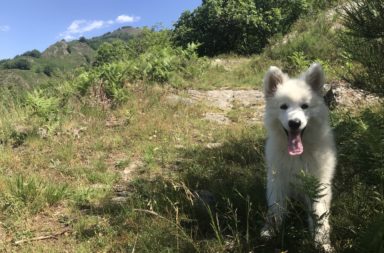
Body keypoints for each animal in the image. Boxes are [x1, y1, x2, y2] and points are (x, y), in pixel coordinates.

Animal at [260, 63, 336, 251]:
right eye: (283, 106)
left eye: (304, 106)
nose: (294, 123)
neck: (297, 156)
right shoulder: (277, 179)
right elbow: (276, 207)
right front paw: (270, 230)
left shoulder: (318, 183)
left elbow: (319, 212)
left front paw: (322, 240)